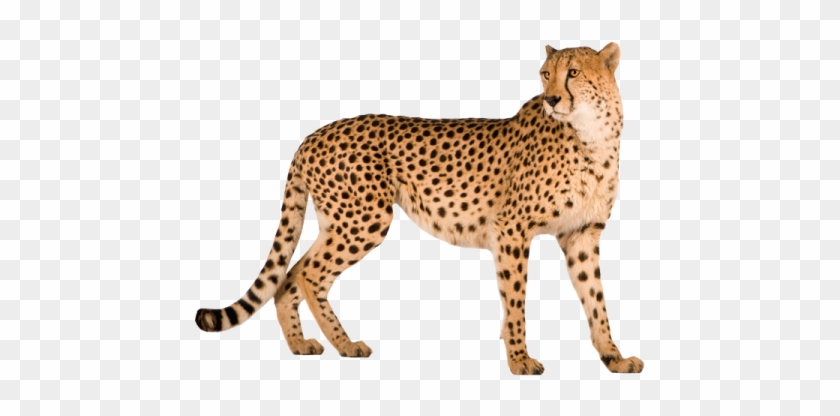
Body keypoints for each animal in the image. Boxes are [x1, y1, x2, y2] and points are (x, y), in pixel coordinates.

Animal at [195, 42, 643, 375]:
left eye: (574, 73)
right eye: (546, 73)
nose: (551, 99)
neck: (593, 133)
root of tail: (313, 134)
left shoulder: (581, 234)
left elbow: (596, 300)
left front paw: (613, 357)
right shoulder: (511, 230)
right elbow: (515, 300)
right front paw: (519, 359)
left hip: (338, 222)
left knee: (288, 275)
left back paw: (301, 343)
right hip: (365, 219)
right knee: (308, 274)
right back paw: (345, 344)